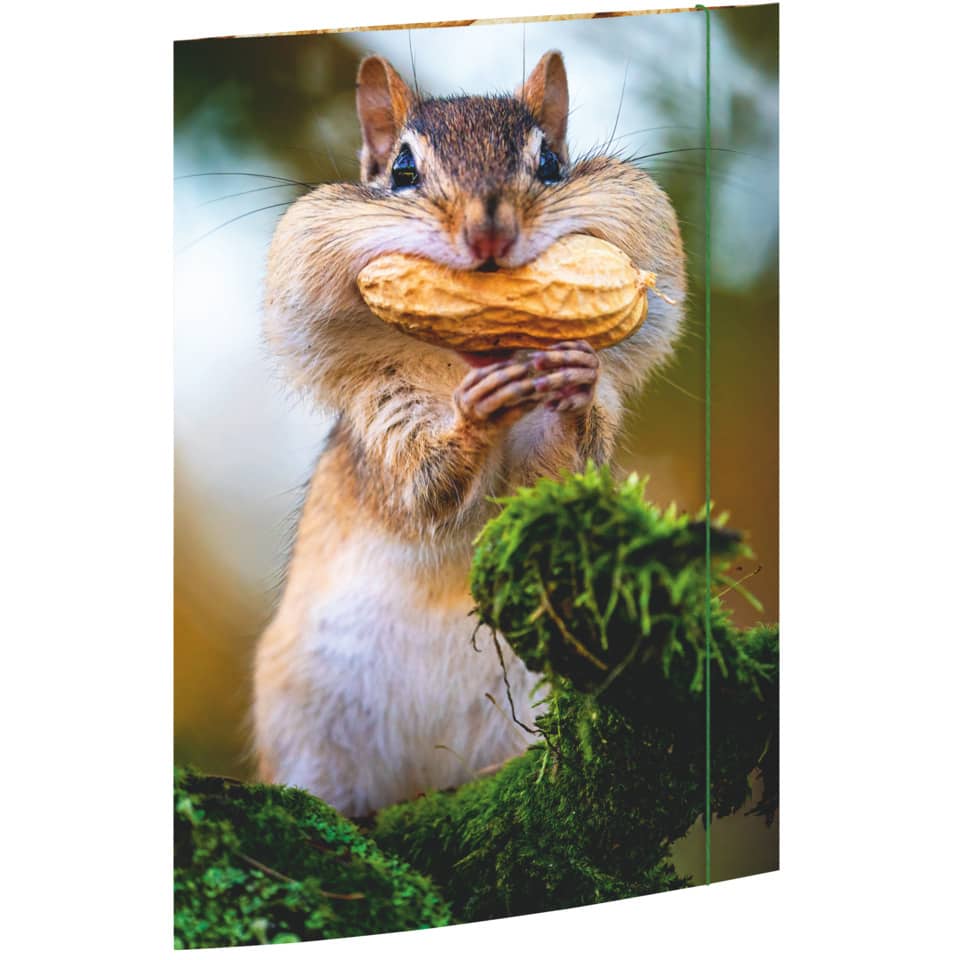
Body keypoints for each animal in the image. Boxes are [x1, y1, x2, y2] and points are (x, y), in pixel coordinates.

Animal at [253, 51, 686, 817]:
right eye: (401, 169)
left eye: (550, 162)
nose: (490, 235)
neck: (466, 358)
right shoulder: (381, 413)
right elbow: (421, 489)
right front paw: (475, 415)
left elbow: (558, 476)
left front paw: (573, 382)